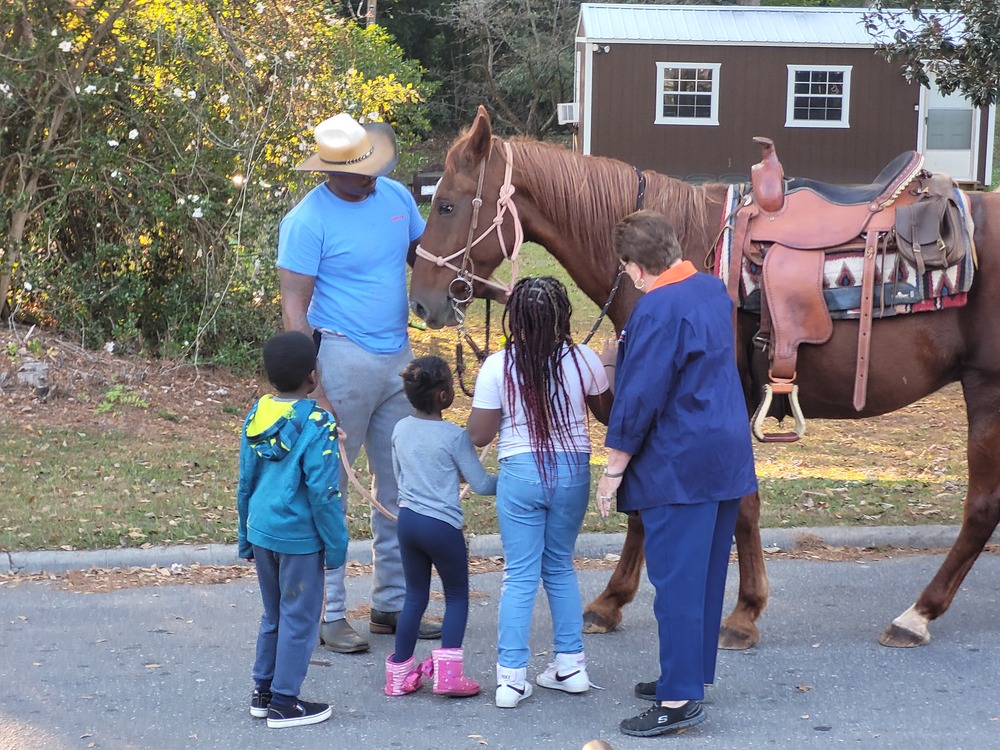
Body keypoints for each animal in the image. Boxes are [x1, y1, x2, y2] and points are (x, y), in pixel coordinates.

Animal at [408, 107, 1000, 652]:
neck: (678, 257)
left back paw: (917, 614)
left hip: (986, 389)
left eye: (446, 204)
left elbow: (733, 506)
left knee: (981, 507)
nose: (420, 301)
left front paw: (741, 613)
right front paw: (614, 602)